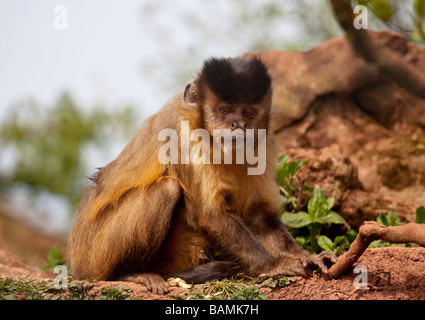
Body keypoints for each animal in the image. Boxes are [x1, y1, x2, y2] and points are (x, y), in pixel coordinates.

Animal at [68, 57, 336, 296]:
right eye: (226, 110)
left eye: (248, 111)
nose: (238, 125)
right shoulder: (182, 133)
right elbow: (211, 215)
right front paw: (273, 265)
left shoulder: (264, 141)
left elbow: (260, 215)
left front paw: (306, 256)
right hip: (93, 256)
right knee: (167, 188)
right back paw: (128, 275)